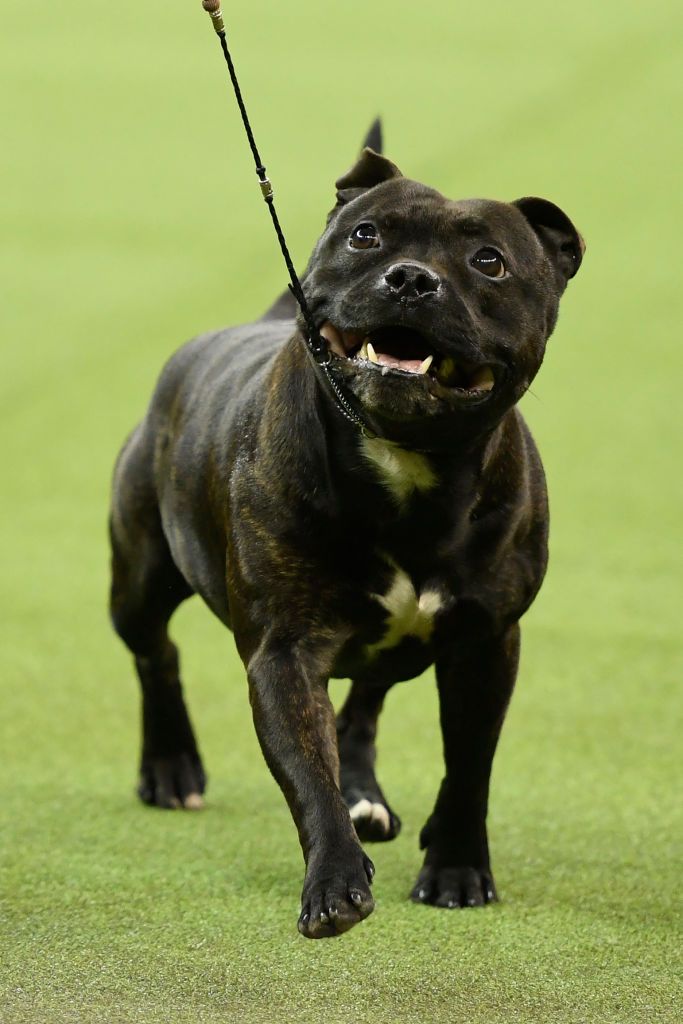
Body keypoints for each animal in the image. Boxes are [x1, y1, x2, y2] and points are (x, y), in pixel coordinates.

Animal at [109, 119, 585, 937]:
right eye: (366, 235)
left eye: (489, 262)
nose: (410, 279)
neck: (407, 463)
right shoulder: (284, 650)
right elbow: (307, 772)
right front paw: (334, 880)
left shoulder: (487, 644)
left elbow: (469, 765)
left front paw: (456, 867)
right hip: (137, 579)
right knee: (156, 652)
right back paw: (171, 766)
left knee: (362, 701)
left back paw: (363, 791)